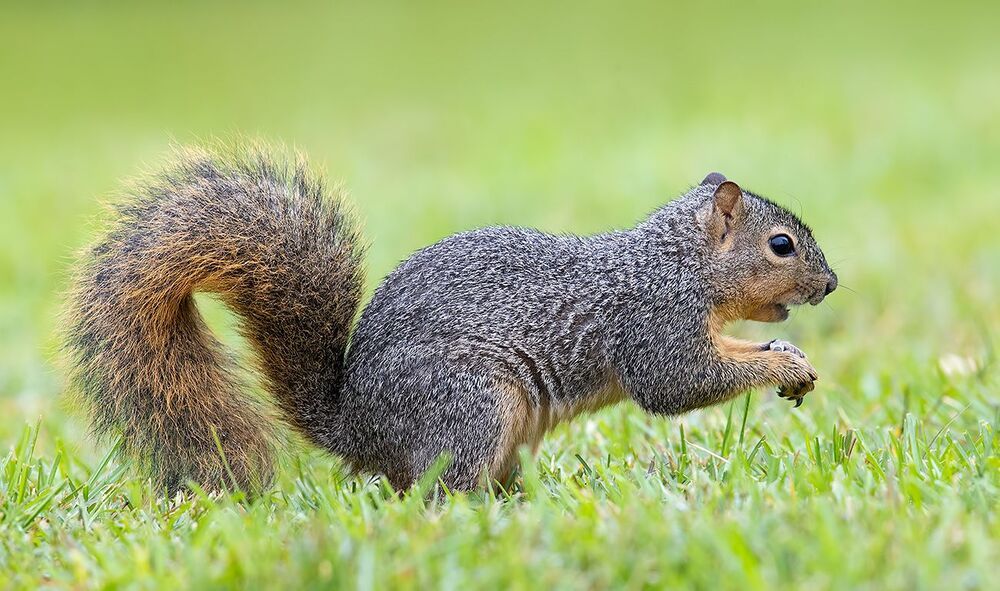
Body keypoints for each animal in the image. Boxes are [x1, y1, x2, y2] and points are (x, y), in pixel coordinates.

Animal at [64, 143, 837, 494]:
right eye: (781, 245)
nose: (831, 283)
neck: (677, 262)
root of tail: (356, 428)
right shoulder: (655, 320)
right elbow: (679, 382)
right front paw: (783, 362)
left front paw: (788, 356)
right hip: (469, 404)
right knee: (440, 490)